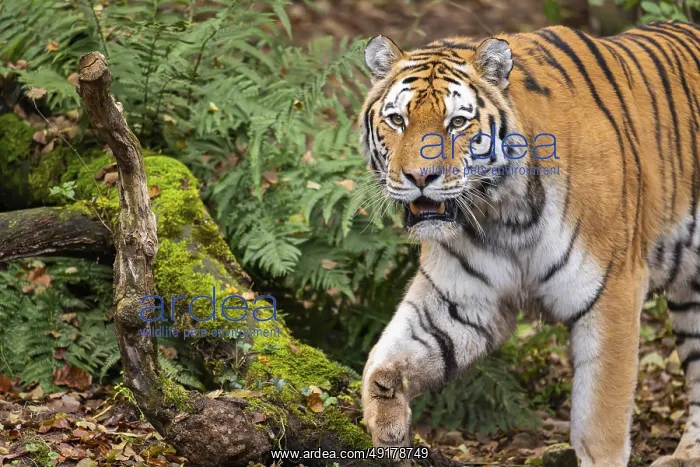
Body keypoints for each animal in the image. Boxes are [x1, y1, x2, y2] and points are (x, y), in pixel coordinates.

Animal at [358, 19, 700, 467]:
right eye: (397, 119)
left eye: (457, 123)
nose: (419, 177)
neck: (503, 214)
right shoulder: (461, 300)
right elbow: (385, 362)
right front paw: (387, 425)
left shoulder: (614, 291)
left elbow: (600, 424)